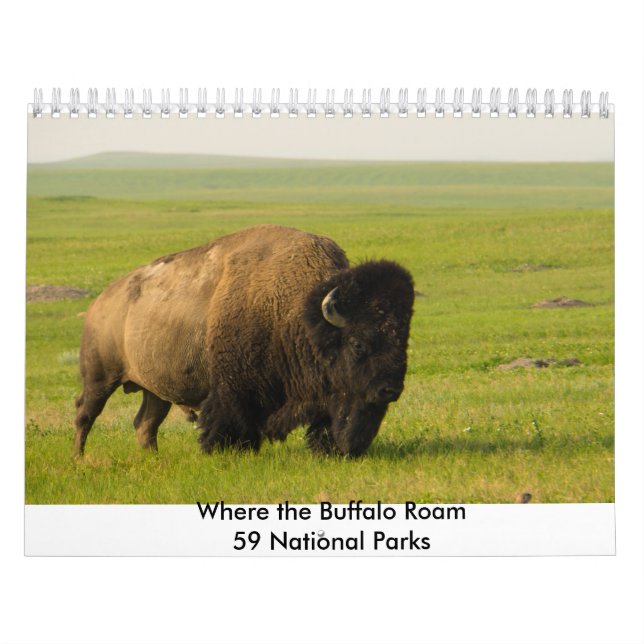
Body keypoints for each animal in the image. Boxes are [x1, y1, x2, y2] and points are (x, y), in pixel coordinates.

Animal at [74, 225, 414, 457]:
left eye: (403, 342)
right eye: (358, 343)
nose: (390, 389)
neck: (297, 315)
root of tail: (101, 302)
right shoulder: (232, 392)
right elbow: (230, 423)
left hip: (155, 391)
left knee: (145, 423)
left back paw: (152, 459)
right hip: (100, 378)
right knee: (85, 414)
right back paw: (79, 459)